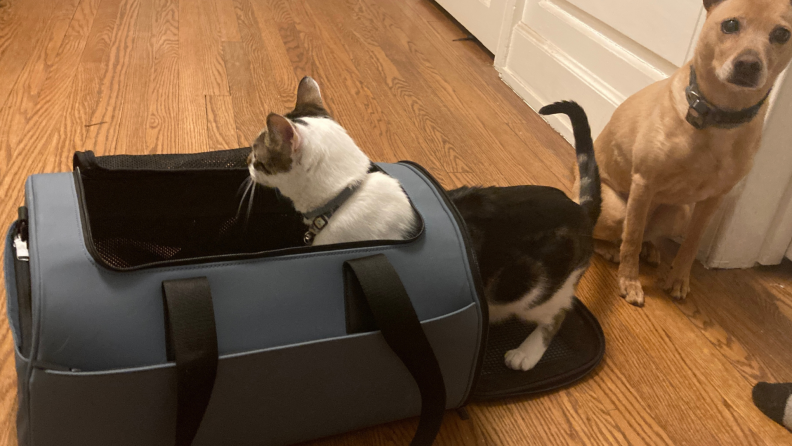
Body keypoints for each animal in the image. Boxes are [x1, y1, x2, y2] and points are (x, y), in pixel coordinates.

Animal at [248, 77, 600, 372]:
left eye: (256, 154)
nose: (247, 163)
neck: (346, 194)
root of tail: (580, 211)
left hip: (529, 292)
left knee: (558, 312)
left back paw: (526, 353)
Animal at [580, 0, 792, 304]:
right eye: (730, 25)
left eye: (782, 34)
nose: (749, 65)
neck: (719, 116)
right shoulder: (644, 183)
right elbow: (631, 240)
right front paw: (629, 281)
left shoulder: (713, 200)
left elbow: (690, 245)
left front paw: (679, 279)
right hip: (616, 210)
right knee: (616, 234)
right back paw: (610, 249)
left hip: (678, 214)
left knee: (645, 234)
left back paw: (650, 249)